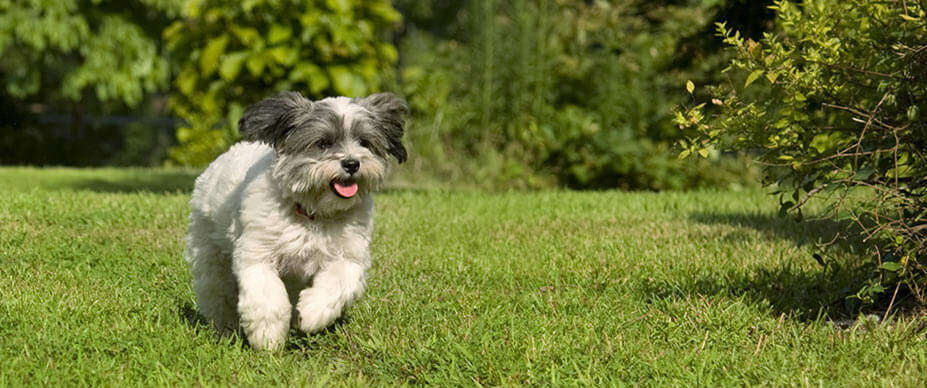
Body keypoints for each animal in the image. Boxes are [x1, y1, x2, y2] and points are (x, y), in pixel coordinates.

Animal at [185, 91, 406, 352]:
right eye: (323, 143)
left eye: (364, 142)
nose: (352, 163)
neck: (313, 213)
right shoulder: (257, 254)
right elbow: (267, 297)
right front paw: (268, 338)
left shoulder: (349, 255)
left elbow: (338, 283)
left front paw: (311, 314)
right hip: (210, 256)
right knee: (216, 293)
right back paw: (225, 330)